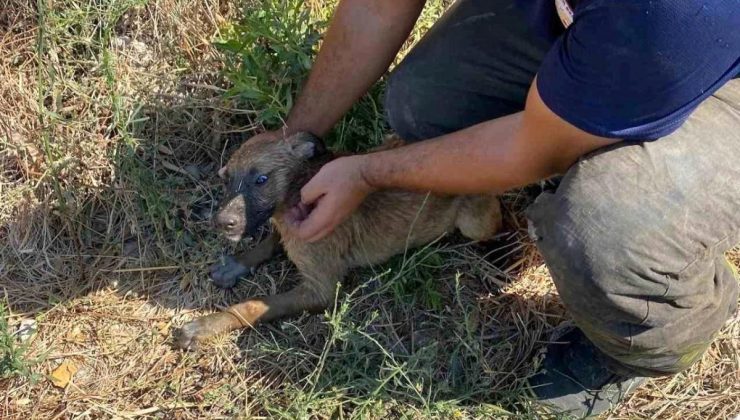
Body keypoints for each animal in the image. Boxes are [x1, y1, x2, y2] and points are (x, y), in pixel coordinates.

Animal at [173, 133, 502, 350]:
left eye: (262, 179)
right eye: (226, 179)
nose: (221, 222)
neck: (299, 189)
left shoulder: (321, 290)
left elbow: (253, 305)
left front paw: (206, 325)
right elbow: (272, 241)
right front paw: (237, 264)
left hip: (474, 222)